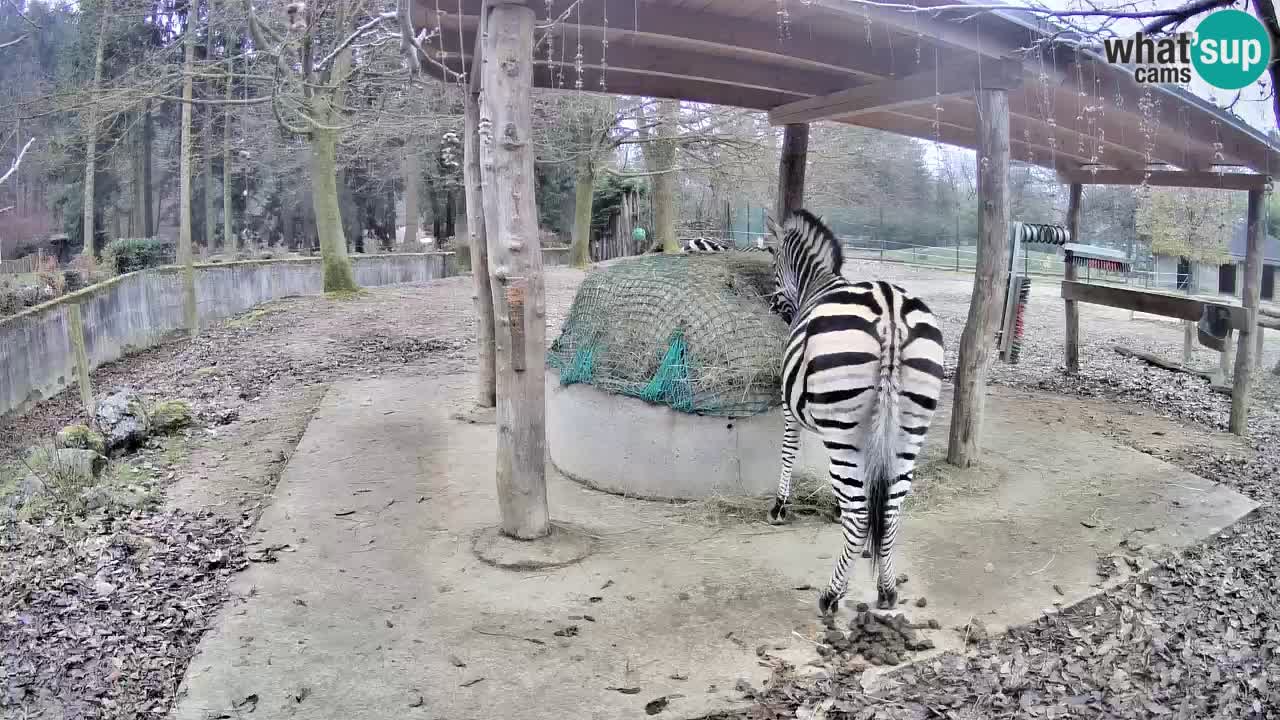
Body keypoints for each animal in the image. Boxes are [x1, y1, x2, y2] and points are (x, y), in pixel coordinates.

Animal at [757, 207, 952, 617]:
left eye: (771, 256)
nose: (774, 306)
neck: (817, 284)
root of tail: (891, 310)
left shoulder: (791, 408)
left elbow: (789, 452)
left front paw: (779, 507)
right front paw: (840, 513)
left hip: (847, 427)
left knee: (863, 515)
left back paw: (831, 595)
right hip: (908, 430)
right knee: (890, 511)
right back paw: (887, 589)